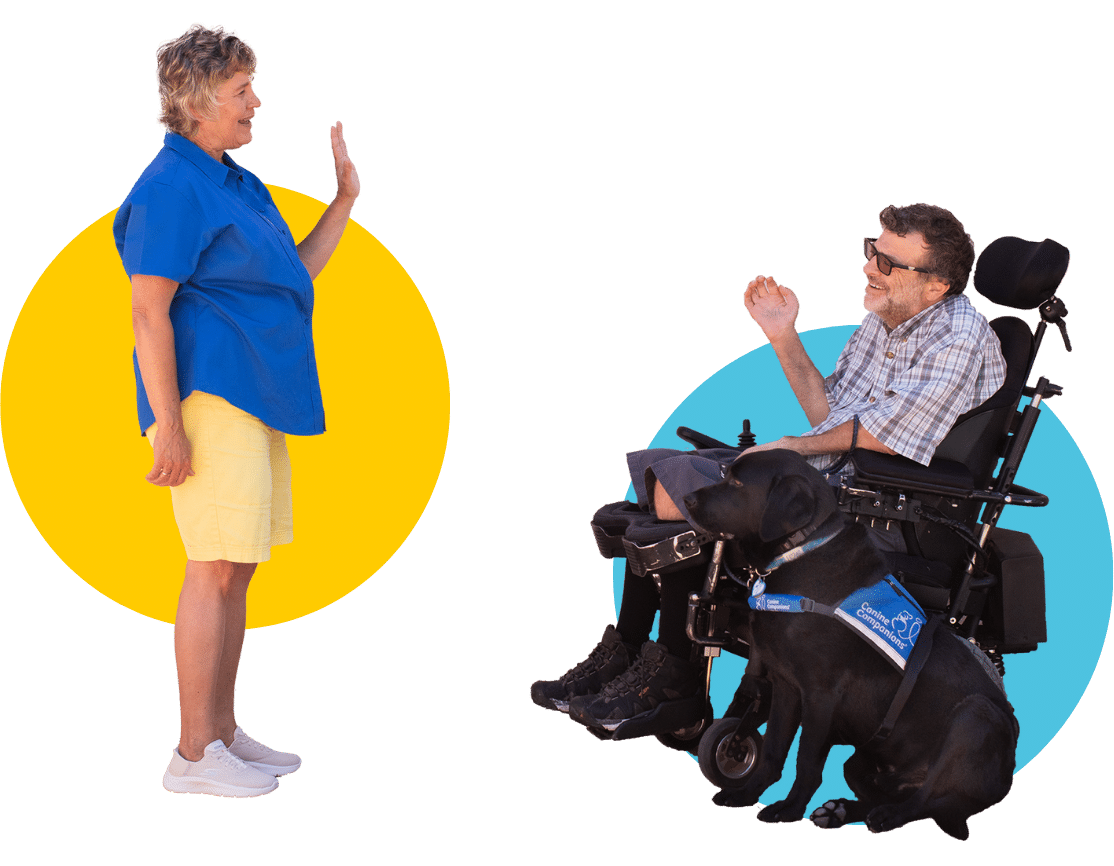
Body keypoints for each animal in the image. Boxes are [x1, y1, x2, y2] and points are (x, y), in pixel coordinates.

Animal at [681, 450, 1015, 842]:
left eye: (735, 482)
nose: (687, 499)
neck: (800, 551)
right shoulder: (785, 686)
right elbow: (774, 751)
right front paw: (746, 794)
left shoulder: (820, 693)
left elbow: (807, 760)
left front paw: (788, 810)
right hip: (861, 760)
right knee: (891, 794)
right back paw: (839, 810)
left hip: (976, 716)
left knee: (926, 799)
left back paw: (886, 816)